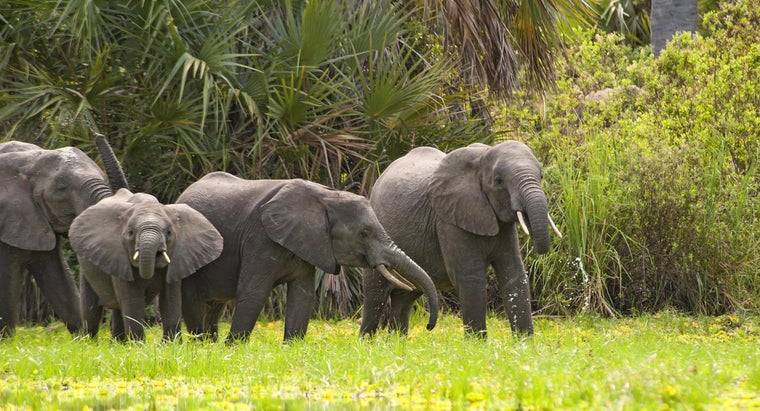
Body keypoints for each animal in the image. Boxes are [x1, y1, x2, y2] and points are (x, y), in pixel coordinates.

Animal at [0, 137, 125, 338]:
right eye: (61, 189)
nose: (97, 135)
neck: (28, 160)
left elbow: (57, 278)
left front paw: (81, 339)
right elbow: (6, 280)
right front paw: (7, 340)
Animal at [69, 188, 223, 341]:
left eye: (169, 233)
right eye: (131, 232)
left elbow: (170, 298)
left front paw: (170, 344)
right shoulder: (119, 257)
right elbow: (132, 299)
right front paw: (138, 345)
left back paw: (118, 343)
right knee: (91, 308)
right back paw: (90, 342)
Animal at [176, 172, 439, 343]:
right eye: (364, 233)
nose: (429, 327)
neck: (325, 197)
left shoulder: (308, 243)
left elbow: (302, 295)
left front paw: (291, 346)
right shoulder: (259, 238)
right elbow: (254, 292)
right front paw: (234, 348)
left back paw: (210, 344)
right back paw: (202, 344)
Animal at [360, 141, 562, 338]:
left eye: (541, 176)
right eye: (498, 181)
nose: (428, 327)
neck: (482, 157)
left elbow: (513, 273)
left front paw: (525, 342)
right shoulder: (449, 219)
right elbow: (470, 276)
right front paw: (477, 342)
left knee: (406, 296)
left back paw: (396, 342)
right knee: (376, 294)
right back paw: (367, 341)